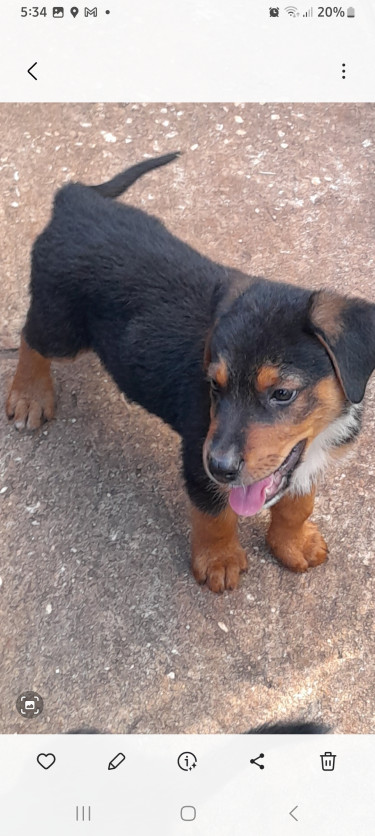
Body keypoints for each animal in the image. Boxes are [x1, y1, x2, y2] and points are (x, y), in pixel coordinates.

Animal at [5, 153, 375, 592]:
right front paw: (219, 559)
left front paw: (293, 542)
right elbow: (215, 514)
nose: (221, 467)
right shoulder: (199, 452)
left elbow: (297, 503)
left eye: (282, 393)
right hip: (63, 328)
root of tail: (75, 200)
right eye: (214, 386)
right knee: (29, 336)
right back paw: (29, 396)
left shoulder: (302, 461)